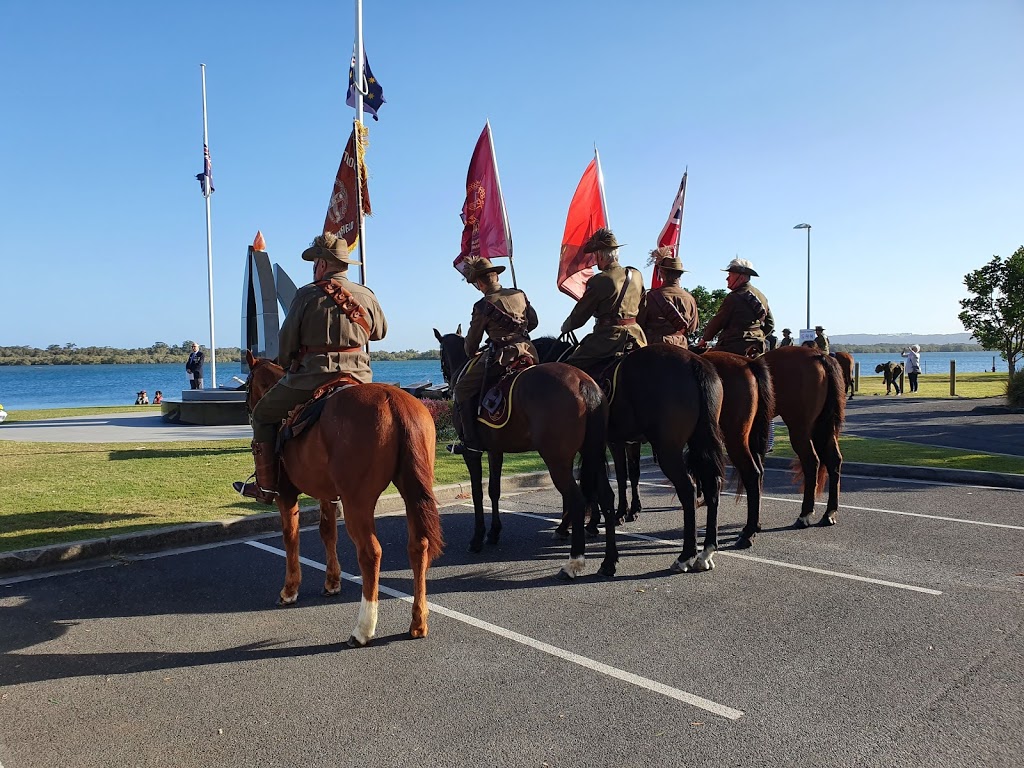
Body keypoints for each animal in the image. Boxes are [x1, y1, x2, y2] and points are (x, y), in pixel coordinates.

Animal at [246, 354, 444, 651]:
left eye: (247, 385)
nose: (248, 409)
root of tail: (394, 402)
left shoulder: (286, 494)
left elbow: (290, 537)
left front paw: (290, 589)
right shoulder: (327, 494)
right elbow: (328, 533)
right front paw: (332, 582)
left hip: (357, 503)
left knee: (370, 553)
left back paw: (363, 629)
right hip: (411, 493)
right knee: (419, 546)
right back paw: (418, 622)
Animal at [432, 329, 614, 577]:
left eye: (441, 354)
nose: (446, 386)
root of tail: (583, 382)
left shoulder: (472, 454)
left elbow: (477, 493)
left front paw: (477, 538)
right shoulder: (495, 451)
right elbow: (494, 490)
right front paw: (494, 532)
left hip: (557, 461)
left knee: (576, 499)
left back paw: (574, 560)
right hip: (592, 453)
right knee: (606, 496)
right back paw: (608, 562)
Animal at [765, 348, 843, 528]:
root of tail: (819, 355)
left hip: (799, 428)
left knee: (811, 461)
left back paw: (805, 514)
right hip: (823, 427)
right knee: (834, 460)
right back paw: (829, 513)